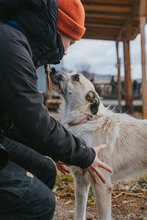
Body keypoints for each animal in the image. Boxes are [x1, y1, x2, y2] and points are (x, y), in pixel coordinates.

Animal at [50, 68, 146, 220]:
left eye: (76, 77)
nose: (52, 68)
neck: (84, 119)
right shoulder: (81, 183)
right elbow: (79, 214)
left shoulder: (102, 186)